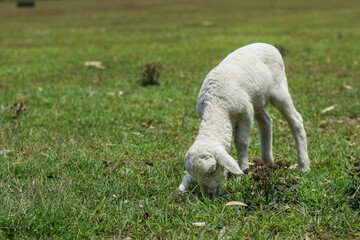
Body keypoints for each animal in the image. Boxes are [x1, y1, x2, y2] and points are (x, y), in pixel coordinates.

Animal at [179, 43, 310, 197]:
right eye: (196, 176)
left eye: (213, 170)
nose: (209, 195)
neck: (216, 105)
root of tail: (269, 45)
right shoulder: (246, 108)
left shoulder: (245, 112)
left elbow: (241, 142)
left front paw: (242, 174)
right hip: (257, 100)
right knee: (266, 122)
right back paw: (267, 161)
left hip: (279, 90)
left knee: (296, 120)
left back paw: (304, 166)